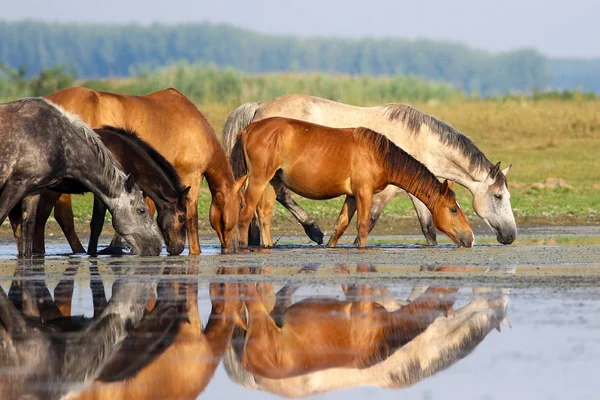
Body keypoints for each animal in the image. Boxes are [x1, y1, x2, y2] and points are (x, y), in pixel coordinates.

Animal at [0, 98, 162, 258]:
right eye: (142, 210)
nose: (158, 247)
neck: (59, 141)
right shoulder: (17, 184)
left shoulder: (33, 190)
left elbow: (28, 231)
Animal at [21, 126, 190, 256]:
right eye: (182, 218)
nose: (179, 248)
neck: (127, 155)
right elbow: (97, 224)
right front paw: (92, 253)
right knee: (40, 219)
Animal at [223, 95, 516, 245]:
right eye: (498, 196)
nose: (511, 235)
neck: (419, 139)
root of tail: (258, 107)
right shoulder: (385, 192)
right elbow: (372, 220)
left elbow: (428, 228)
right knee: (282, 196)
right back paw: (313, 230)